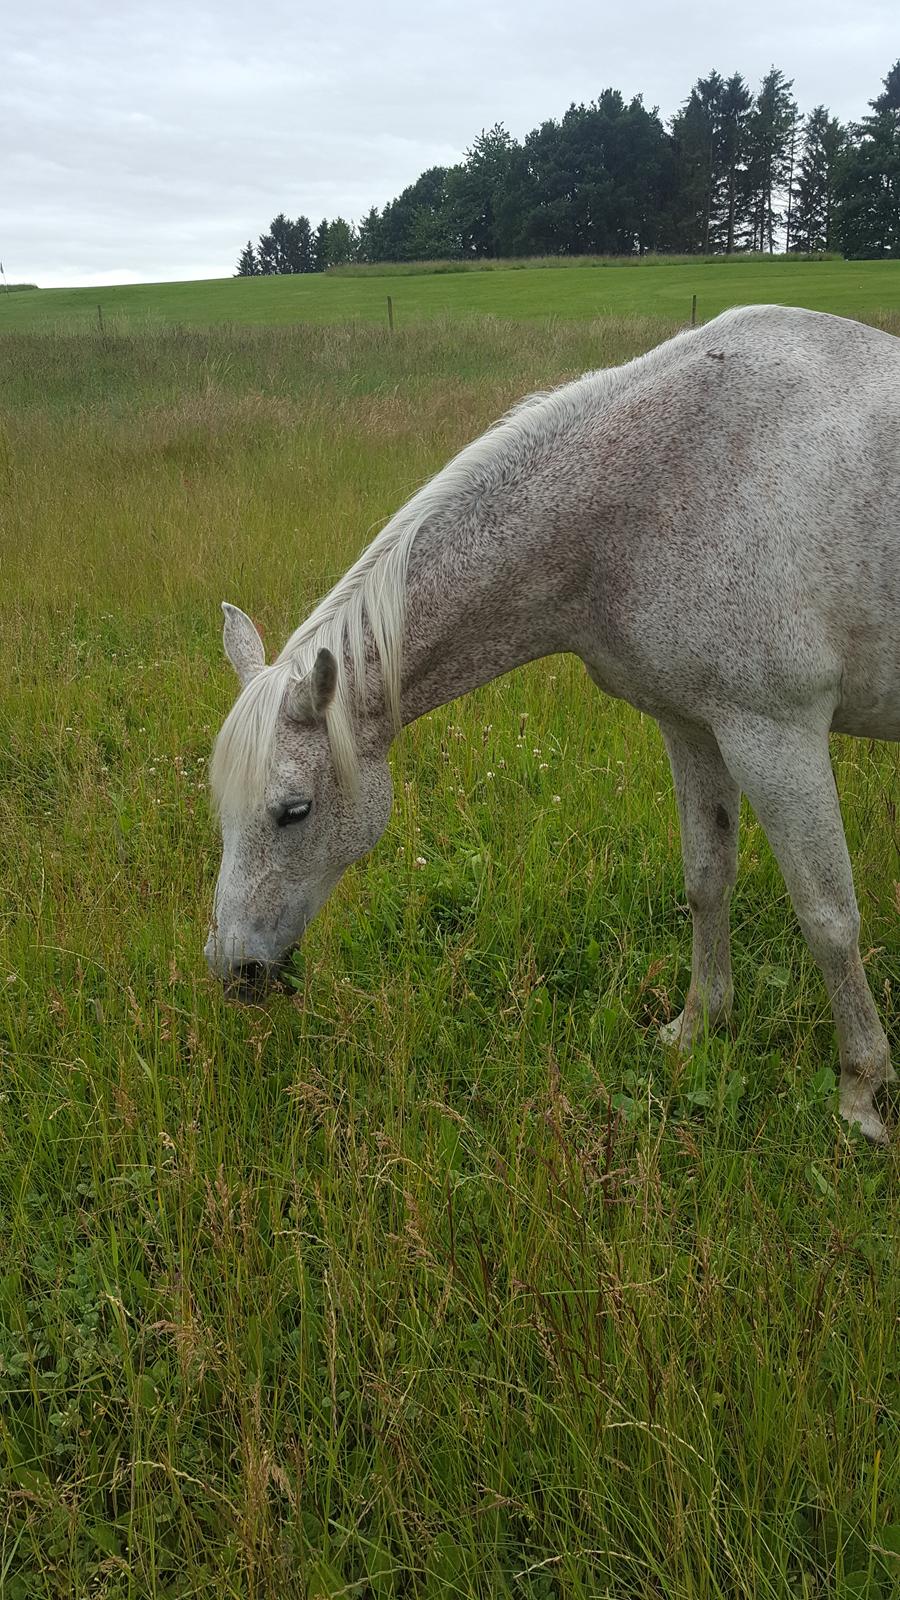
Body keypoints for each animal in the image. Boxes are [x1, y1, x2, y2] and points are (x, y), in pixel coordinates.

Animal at [206, 305, 890, 1145]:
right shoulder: (694, 728)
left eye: (294, 811)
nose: (234, 971)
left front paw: (860, 1092)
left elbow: (829, 918)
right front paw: (696, 1027)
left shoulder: (776, 735)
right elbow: (707, 880)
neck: (658, 485)